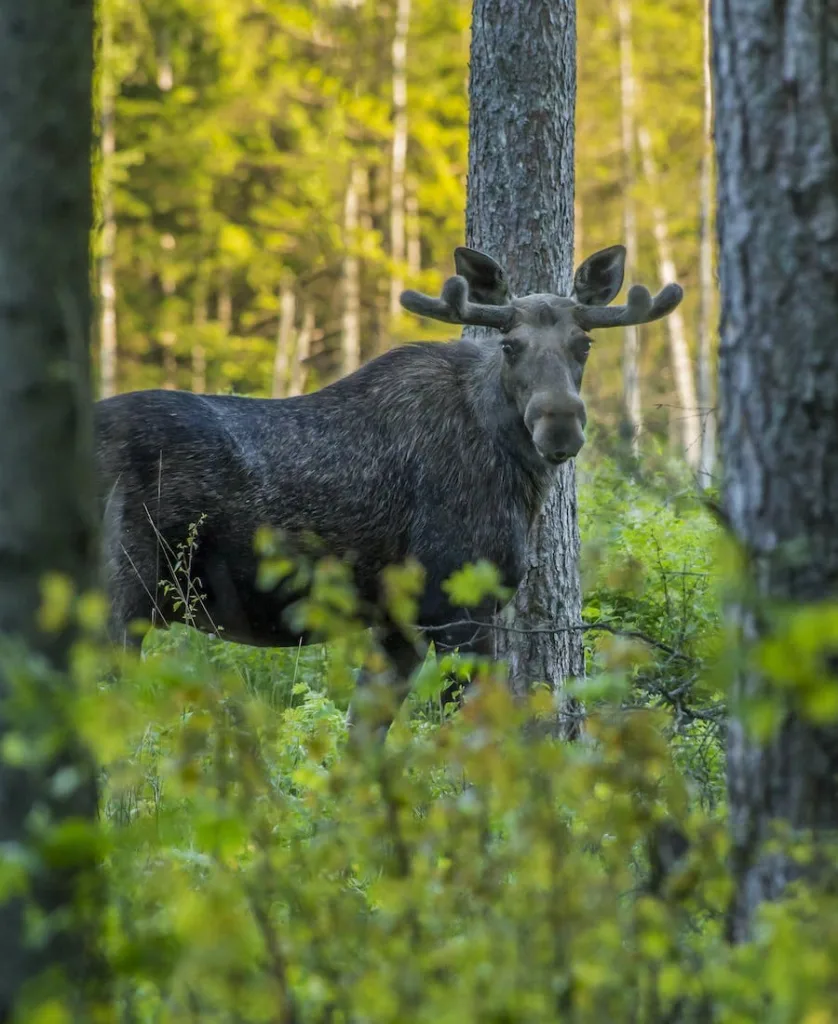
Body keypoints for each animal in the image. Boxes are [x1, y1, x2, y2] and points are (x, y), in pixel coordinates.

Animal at [96, 241, 680, 737]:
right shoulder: (457, 603)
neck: (519, 481)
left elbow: (364, 737)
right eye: (510, 345)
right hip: (118, 596)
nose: (559, 424)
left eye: (584, 343)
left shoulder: (397, 622)